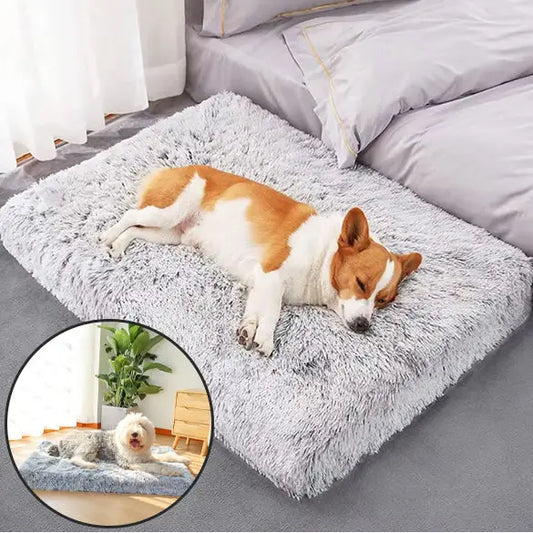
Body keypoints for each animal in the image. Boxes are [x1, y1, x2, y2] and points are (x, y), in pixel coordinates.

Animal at [47, 412, 189, 474]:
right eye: (129, 425)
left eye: (141, 425)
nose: (134, 433)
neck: (135, 451)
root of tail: (60, 441)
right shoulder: (130, 463)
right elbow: (156, 467)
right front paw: (174, 471)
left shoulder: (149, 457)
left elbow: (167, 456)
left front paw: (184, 460)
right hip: (91, 441)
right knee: (75, 459)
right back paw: (90, 465)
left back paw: (95, 460)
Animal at [102, 165, 422, 358]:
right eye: (360, 283)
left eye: (384, 301)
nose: (363, 326)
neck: (323, 256)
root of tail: (174, 168)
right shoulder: (272, 277)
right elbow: (272, 313)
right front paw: (265, 339)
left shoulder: (262, 283)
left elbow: (257, 312)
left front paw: (249, 331)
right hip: (167, 212)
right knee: (129, 216)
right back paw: (107, 235)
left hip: (169, 234)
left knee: (135, 231)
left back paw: (118, 246)